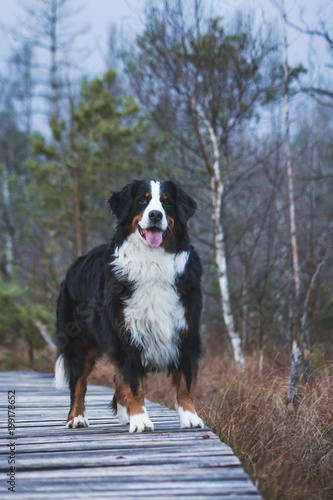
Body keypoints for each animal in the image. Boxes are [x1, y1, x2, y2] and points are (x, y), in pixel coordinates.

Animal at [53, 181, 204, 434]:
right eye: (142, 201)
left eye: (167, 202)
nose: (155, 215)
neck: (153, 262)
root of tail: (76, 263)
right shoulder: (127, 335)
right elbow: (133, 382)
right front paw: (141, 420)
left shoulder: (186, 331)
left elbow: (186, 381)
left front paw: (190, 417)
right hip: (80, 342)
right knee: (78, 381)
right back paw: (77, 417)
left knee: (116, 378)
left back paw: (124, 415)